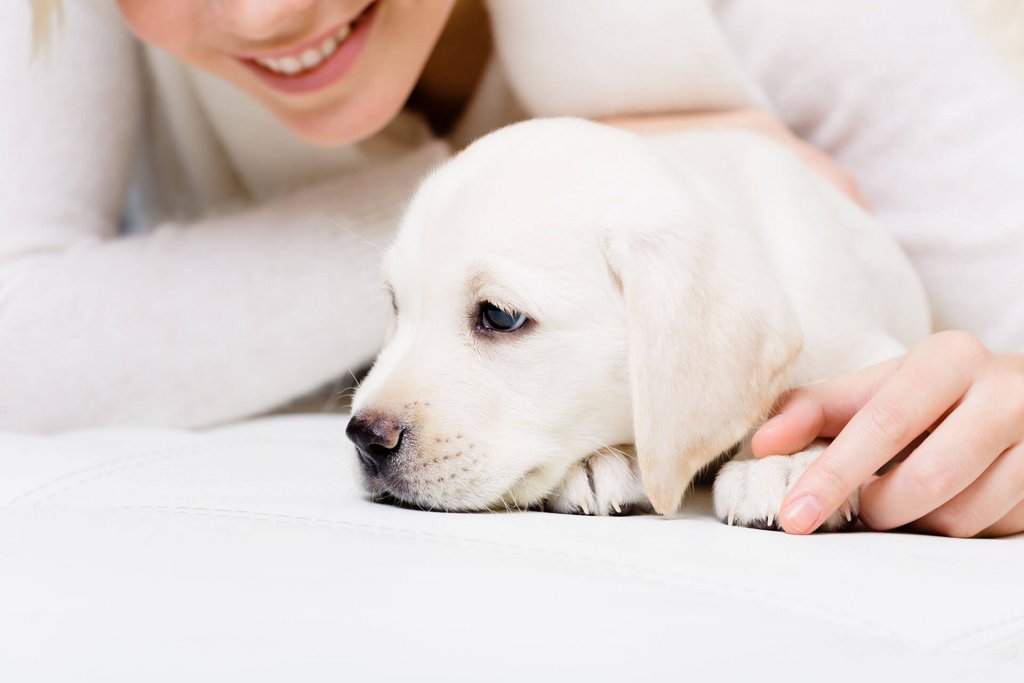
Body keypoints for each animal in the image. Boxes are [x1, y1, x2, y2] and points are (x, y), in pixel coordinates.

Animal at [348, 118, 933, 528]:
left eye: (500, 315)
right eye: (397, 305)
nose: (364, 437)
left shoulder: (871, 349)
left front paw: (786, 460)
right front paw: (597, 462)